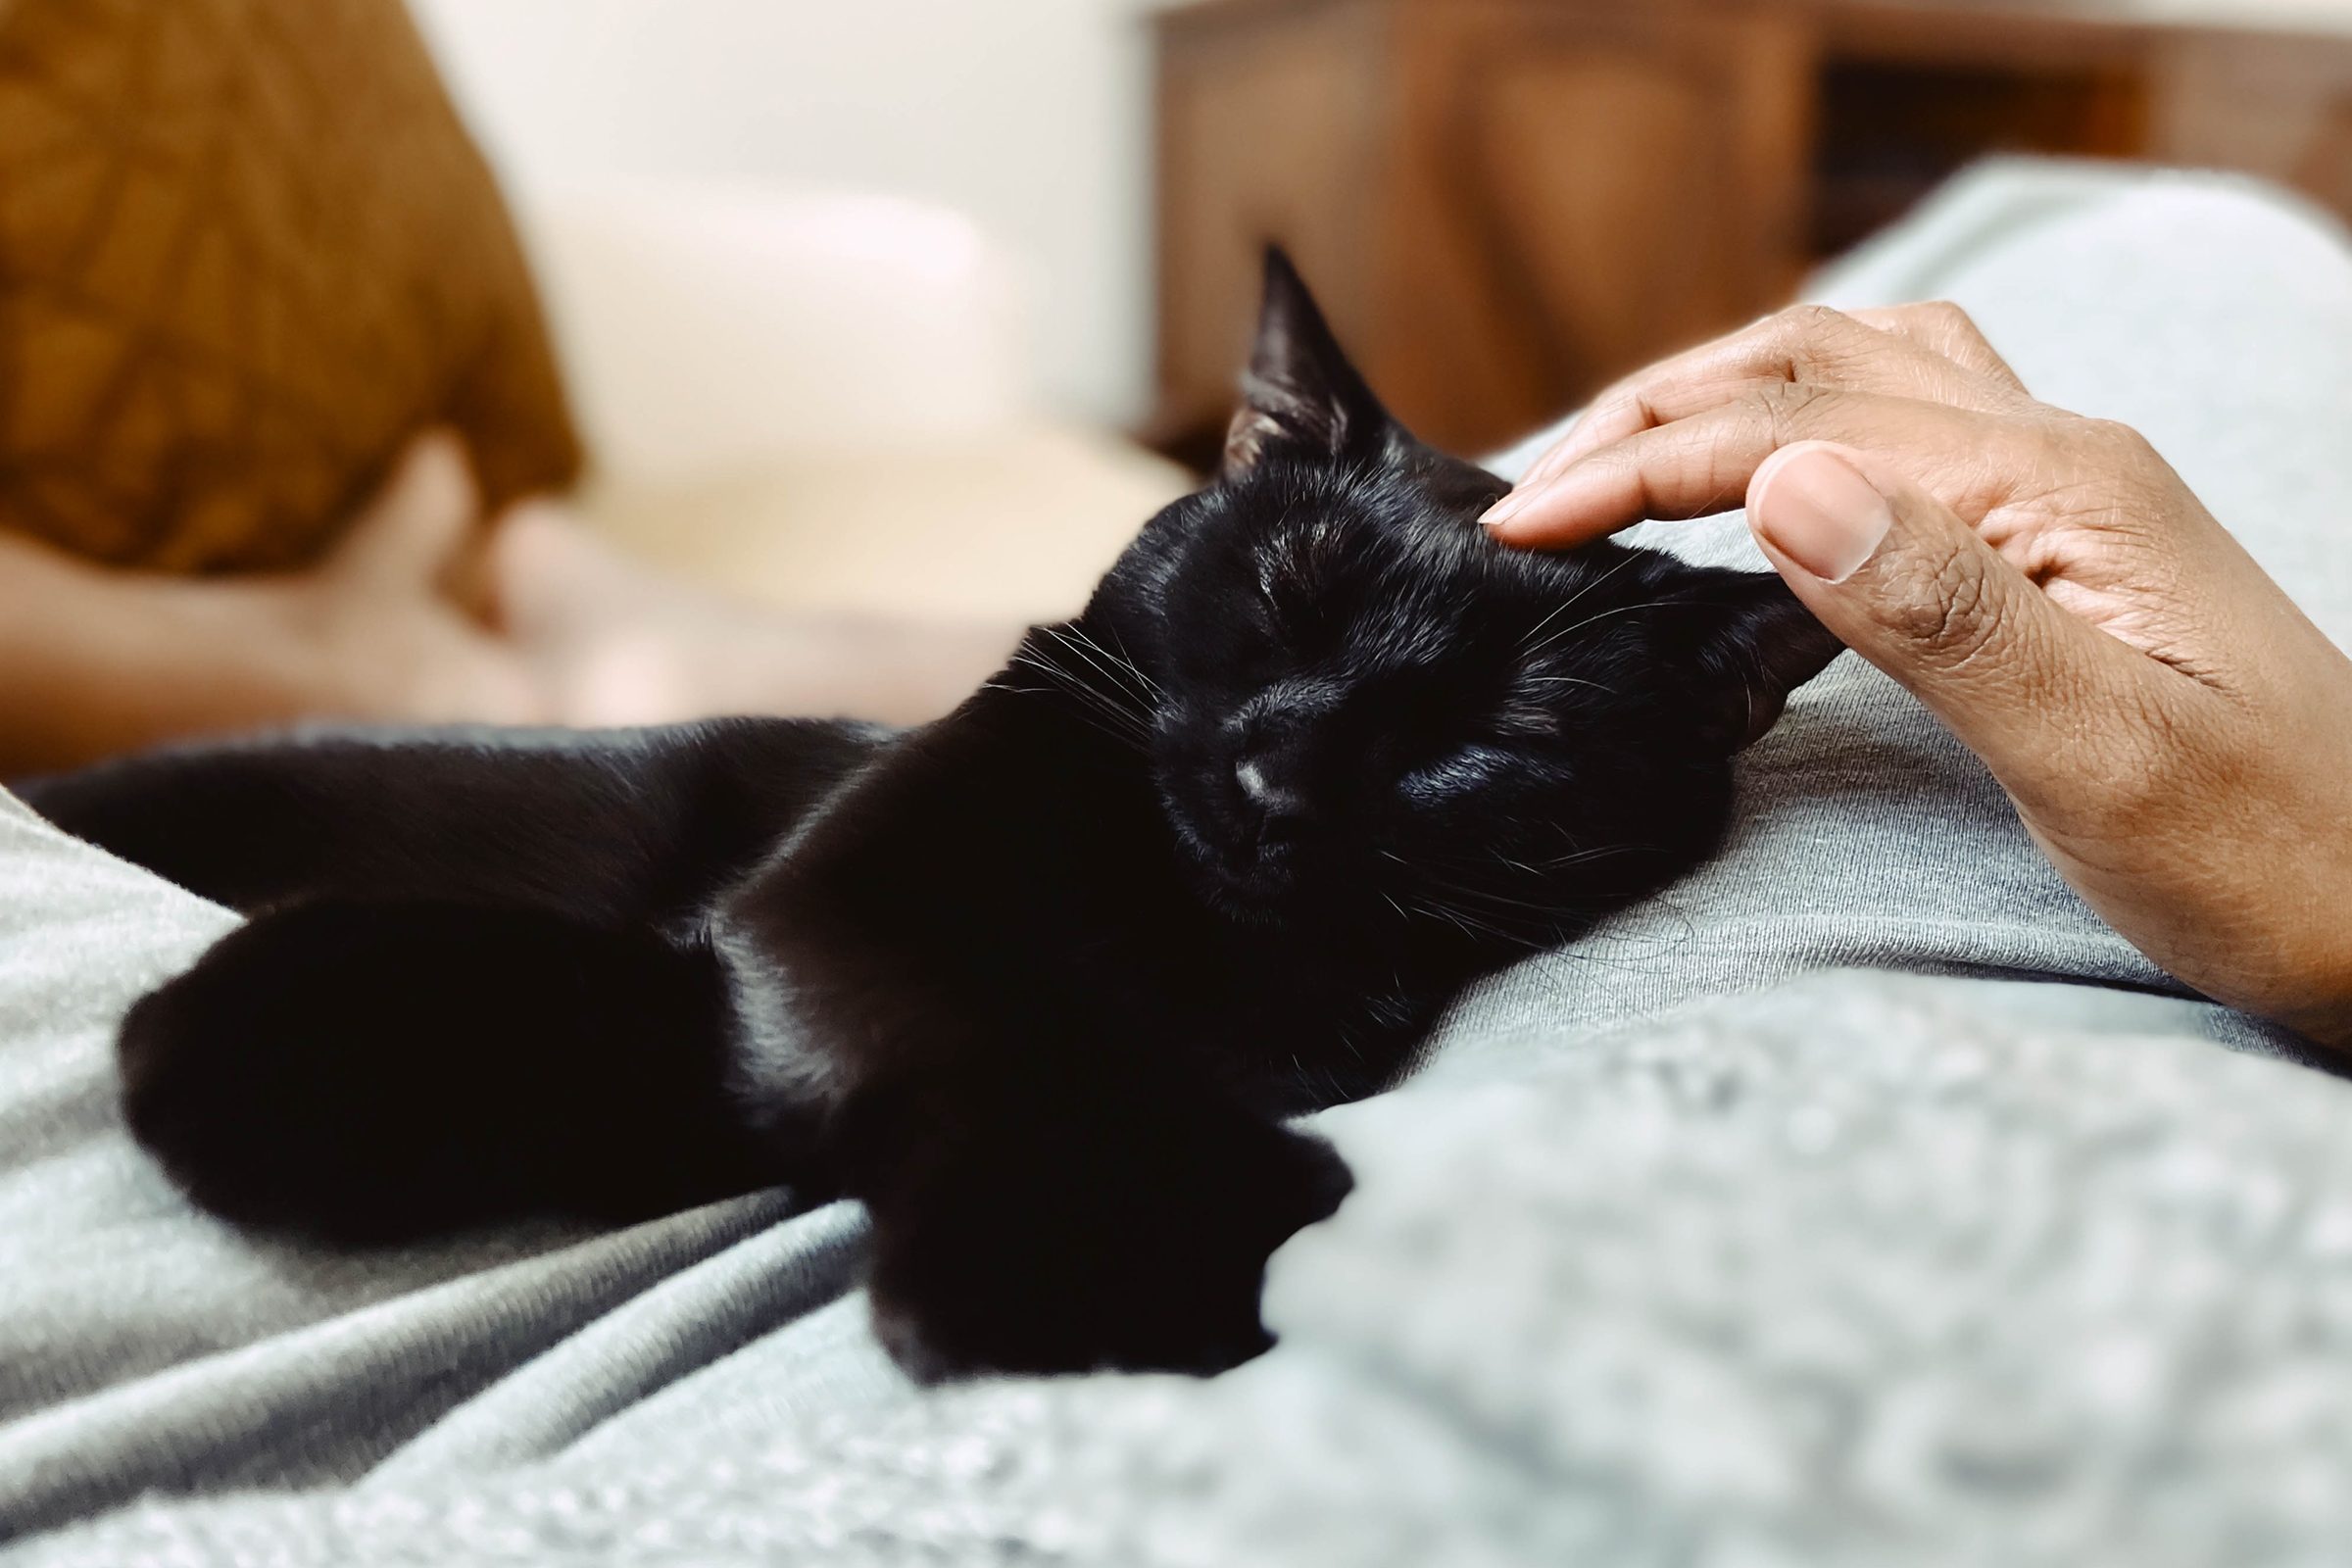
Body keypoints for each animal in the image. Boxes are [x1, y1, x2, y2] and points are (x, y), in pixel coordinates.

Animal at [27, 251, 1843, 1382]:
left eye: (1487, 735)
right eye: (1283, 593)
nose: (1280, 774)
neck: (1169, 932)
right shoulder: (841, 909)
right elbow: (987, 1032)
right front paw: (1081, 1266)